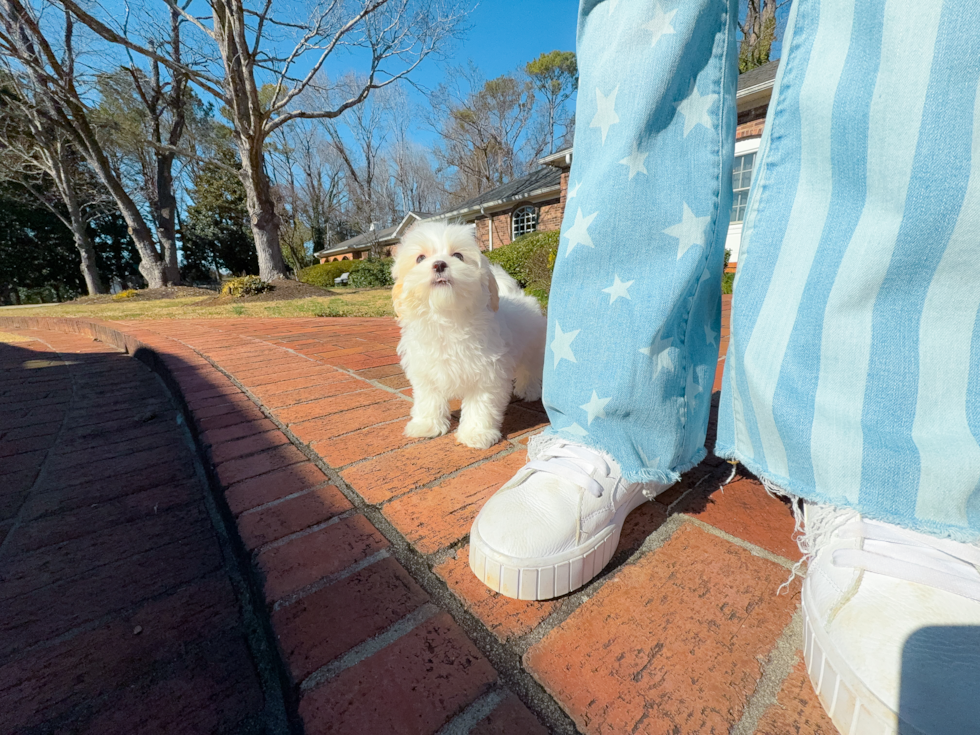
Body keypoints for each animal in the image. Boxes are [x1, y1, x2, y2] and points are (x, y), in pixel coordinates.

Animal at [390, 220, 544, 448]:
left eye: (458, 255)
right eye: (420, 258)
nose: (439, 265)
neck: (447, 316)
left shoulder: (487, 373)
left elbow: (480, 405)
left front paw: (476, 433)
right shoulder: (426, 371)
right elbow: (428, 399)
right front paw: (426, 425)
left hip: (532, 347)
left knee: (530, 370)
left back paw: (529, 391)